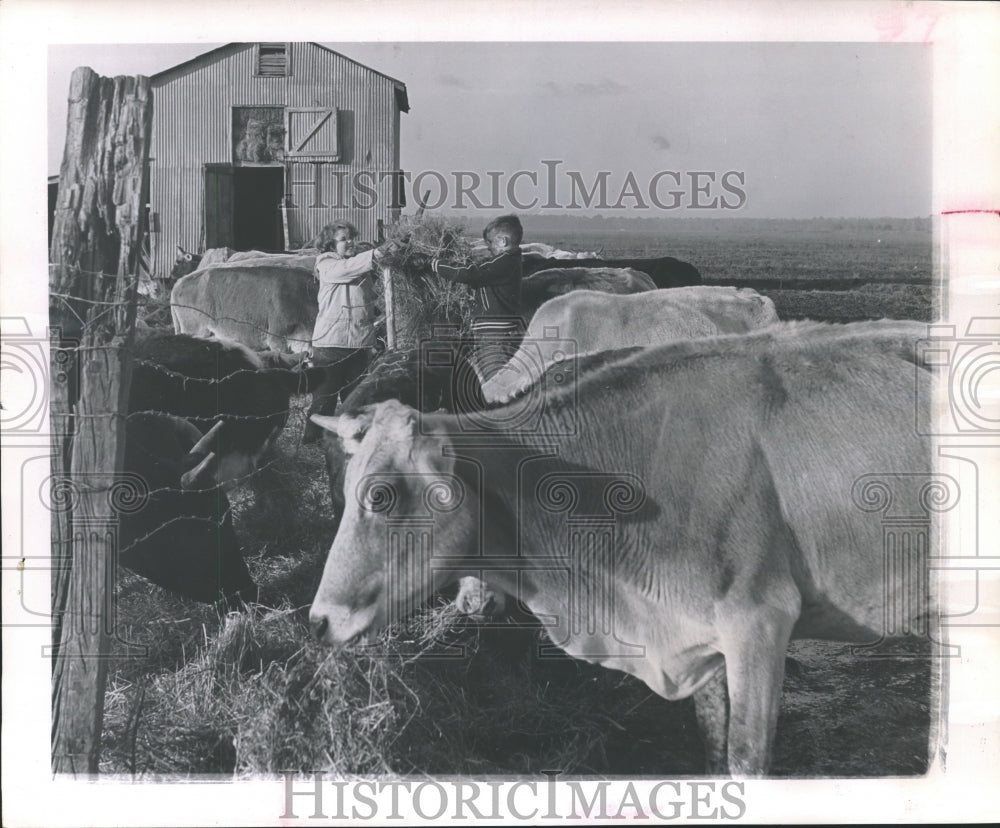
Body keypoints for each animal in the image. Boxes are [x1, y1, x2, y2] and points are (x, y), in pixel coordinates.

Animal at [307, 319, 931, 776]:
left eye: (380, 495)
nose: (317, 621)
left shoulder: (760, 622)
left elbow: (746, 759)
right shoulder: (699, 635)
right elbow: (713, 748)